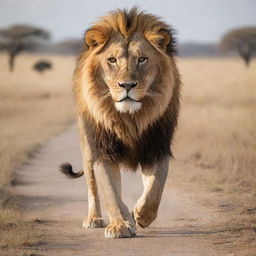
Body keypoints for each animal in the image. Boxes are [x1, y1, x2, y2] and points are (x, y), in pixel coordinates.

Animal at [59, 8, 180, 240]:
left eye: (142, 59)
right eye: (112, 60)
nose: (127, 85)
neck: (130, 119)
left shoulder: (156, 147)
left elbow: (155, 187)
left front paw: (141, 214)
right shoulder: (103, 150)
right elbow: (109, 191)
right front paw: (119, 226)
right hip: (87, 149)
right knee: (93, 188)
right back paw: (96, 218)